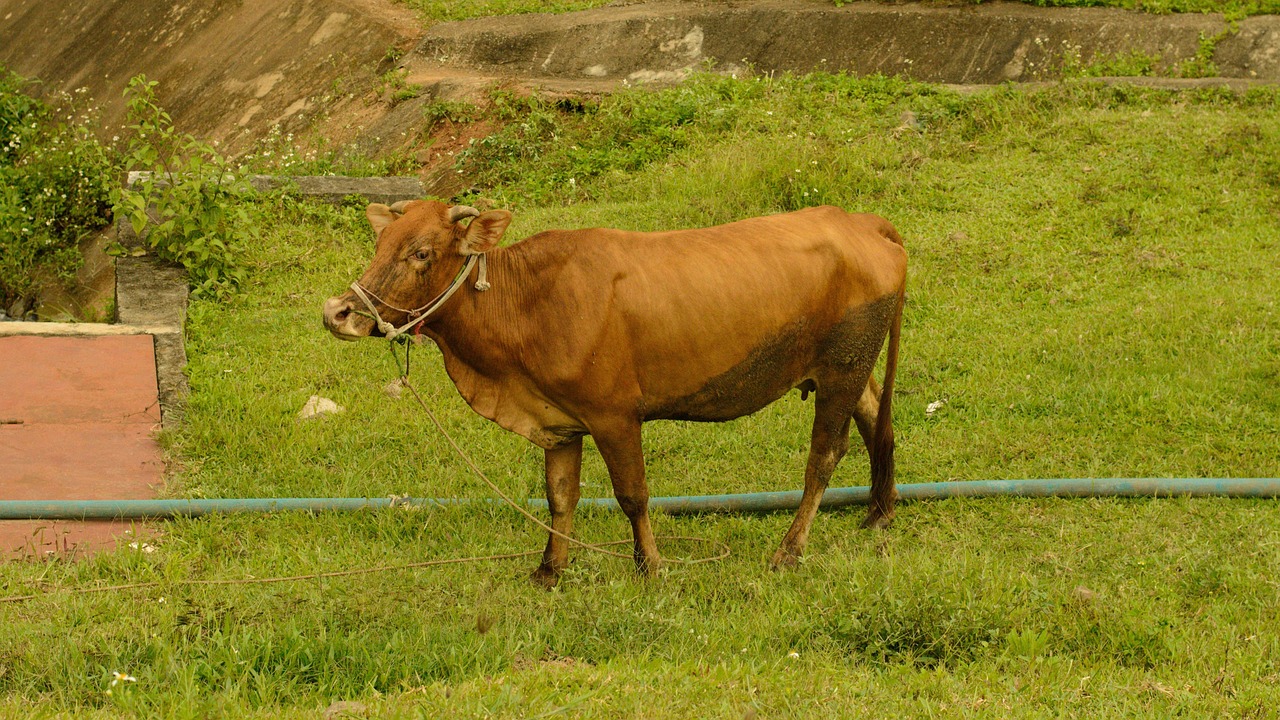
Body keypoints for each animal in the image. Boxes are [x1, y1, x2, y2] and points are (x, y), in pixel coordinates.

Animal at [323, 200, 907, 587]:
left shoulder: (614, 416)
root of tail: (860, 221)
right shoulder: (560, 424)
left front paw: (650, 565)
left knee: (824, 456)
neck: (527, 302)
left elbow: (633, 494)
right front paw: (549, 570)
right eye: (380, 244)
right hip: (851, 369)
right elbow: (560, 497)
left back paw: (789, 551)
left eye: (421, 252)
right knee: (878, 423)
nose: (337, 313)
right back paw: (879, 513)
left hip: (842, 367)